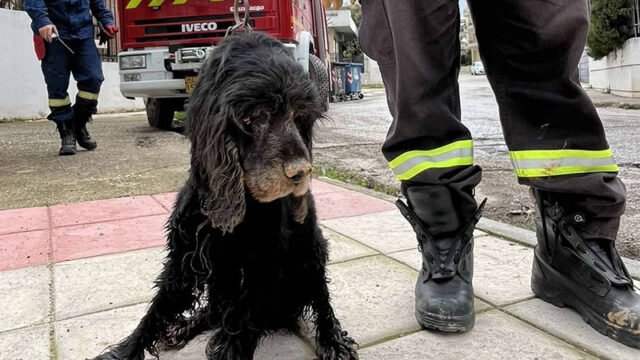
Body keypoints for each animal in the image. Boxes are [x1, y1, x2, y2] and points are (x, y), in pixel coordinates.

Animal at [91, 31, 360, 360]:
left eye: (299, 117)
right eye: (256, 115)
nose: (302, 172)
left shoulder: (260, 268)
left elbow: (240, 324)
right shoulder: (185, 258)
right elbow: (157, 310)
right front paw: (124, 351)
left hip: (312, 251)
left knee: (319, 299)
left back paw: (332, 340)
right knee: (214, 311)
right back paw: (185, 326)